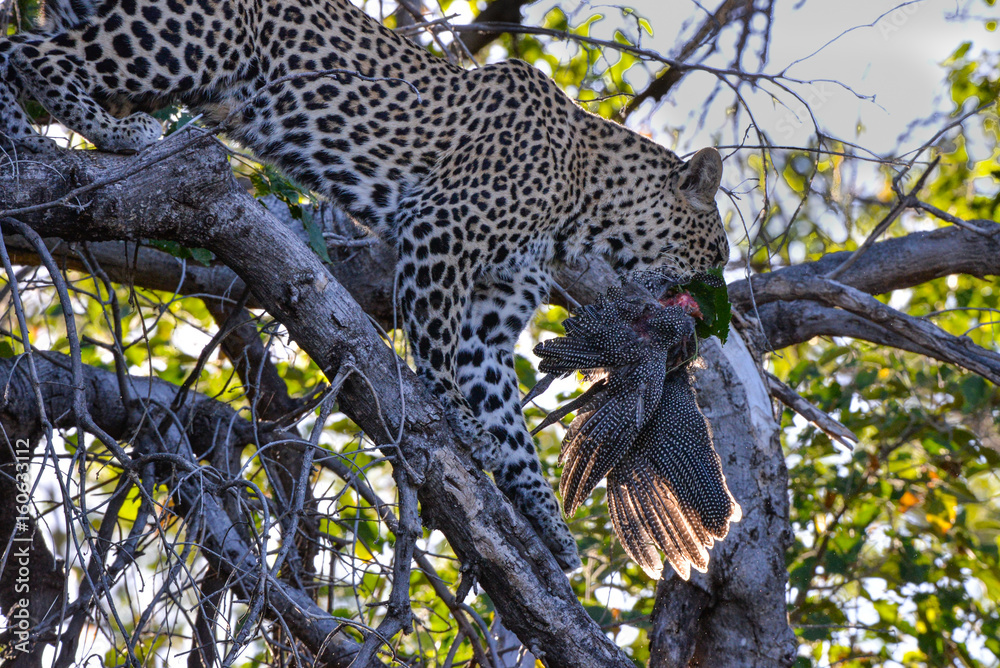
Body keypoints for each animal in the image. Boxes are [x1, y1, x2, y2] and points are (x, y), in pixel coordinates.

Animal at [0, 0, 730, 571]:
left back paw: (23, 140)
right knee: (31, 54)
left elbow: (510, 418)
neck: (583, 206)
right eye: (716, 250)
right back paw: (106, 132)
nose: (709, 315)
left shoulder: (490, 320)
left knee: (16, 51)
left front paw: (549, 523)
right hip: (191, 40)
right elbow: (437, 355)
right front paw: (461, 425)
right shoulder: (440, 232)